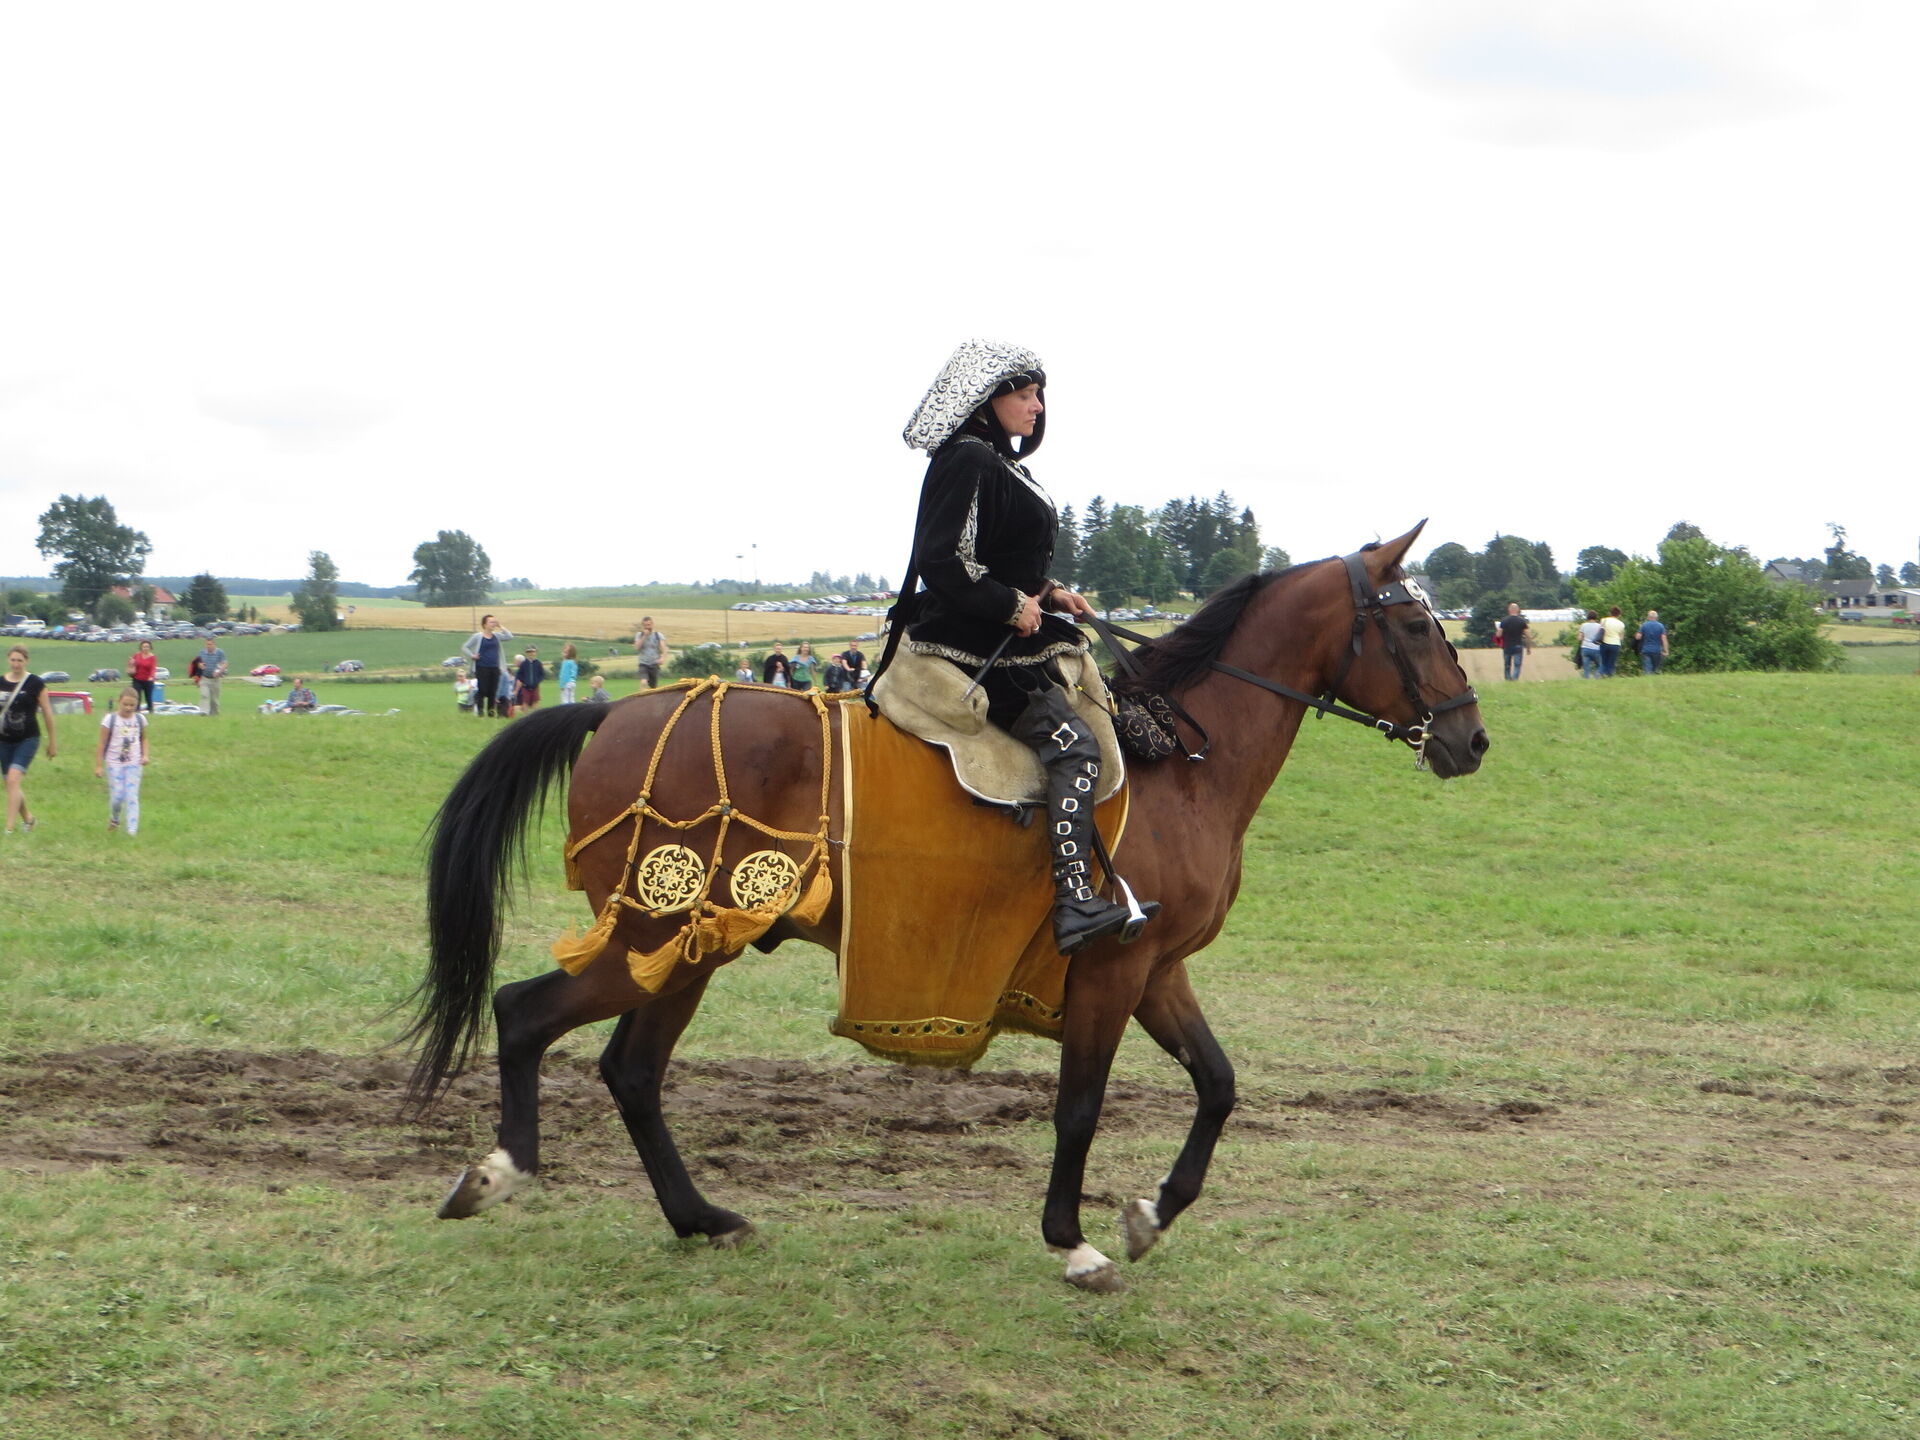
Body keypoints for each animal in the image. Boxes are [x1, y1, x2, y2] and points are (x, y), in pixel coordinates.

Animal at [405, 521, 1488, 1291]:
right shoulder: (1112, 968)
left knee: (629, 1070)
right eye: (1415, 625)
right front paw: (1074, 1242)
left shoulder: (1158, 970)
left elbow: (1218, 1085)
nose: (1470, 740)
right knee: (526, 1017)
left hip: (687, 948)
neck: (1178, 758)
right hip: (661, 930)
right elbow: (1080, 1104)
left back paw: (699, 1218)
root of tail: (614, 712)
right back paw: (499, 1173)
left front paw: (1152, 1214)